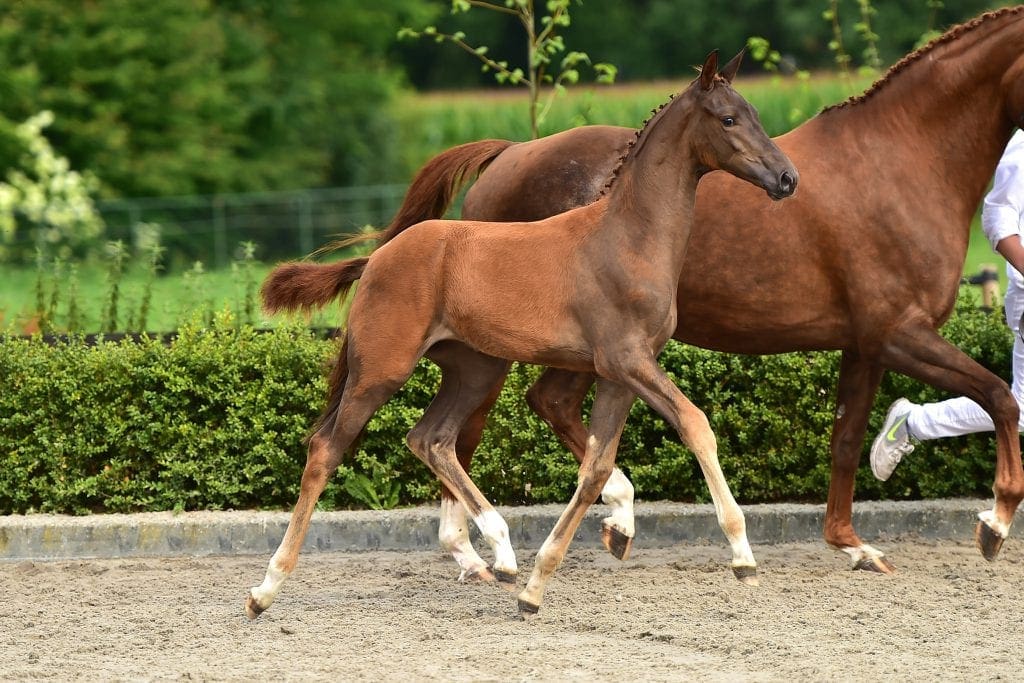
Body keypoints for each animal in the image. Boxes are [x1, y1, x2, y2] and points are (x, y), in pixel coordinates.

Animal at [245, 50, 798, 618]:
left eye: (755, 113)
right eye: (728, 118)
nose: (786, 177)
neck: (628, 238)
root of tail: (378, 256)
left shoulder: (621, 373)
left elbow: (597, 468)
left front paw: (538, 584)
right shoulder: (628, 361)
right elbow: (695, 425)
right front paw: (742, 556)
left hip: (475, 369)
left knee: (430, 438)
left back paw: (501, 551)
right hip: (380, 370)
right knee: (325, 449)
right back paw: (266, 588)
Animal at [365, 6, 1024, 577]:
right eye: (730, 119)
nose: (785, 180)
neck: (901, 159)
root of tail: (508, 156)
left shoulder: (864, 343)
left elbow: (845, 437)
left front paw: (853, 545)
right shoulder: (899, 332)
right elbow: (999, 396)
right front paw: (994, 522)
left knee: (535, 407)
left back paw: (599, 520)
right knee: (473, 426)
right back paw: (485, 548)